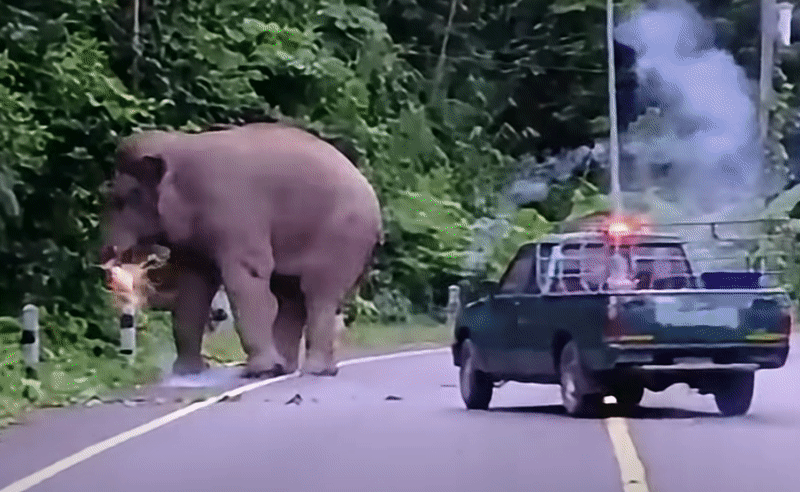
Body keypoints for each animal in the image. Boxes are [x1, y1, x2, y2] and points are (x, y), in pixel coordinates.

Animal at [100, 122, 383, 378]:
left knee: (318, 294)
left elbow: (246, 277)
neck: (177, 146)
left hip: (341, 238)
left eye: (120, 201)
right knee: (291, 296)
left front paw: (259, 372)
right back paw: (286, 368)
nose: (108, 258)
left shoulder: (232, 213)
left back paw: (310, 370)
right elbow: (193, 288)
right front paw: (186, 372)